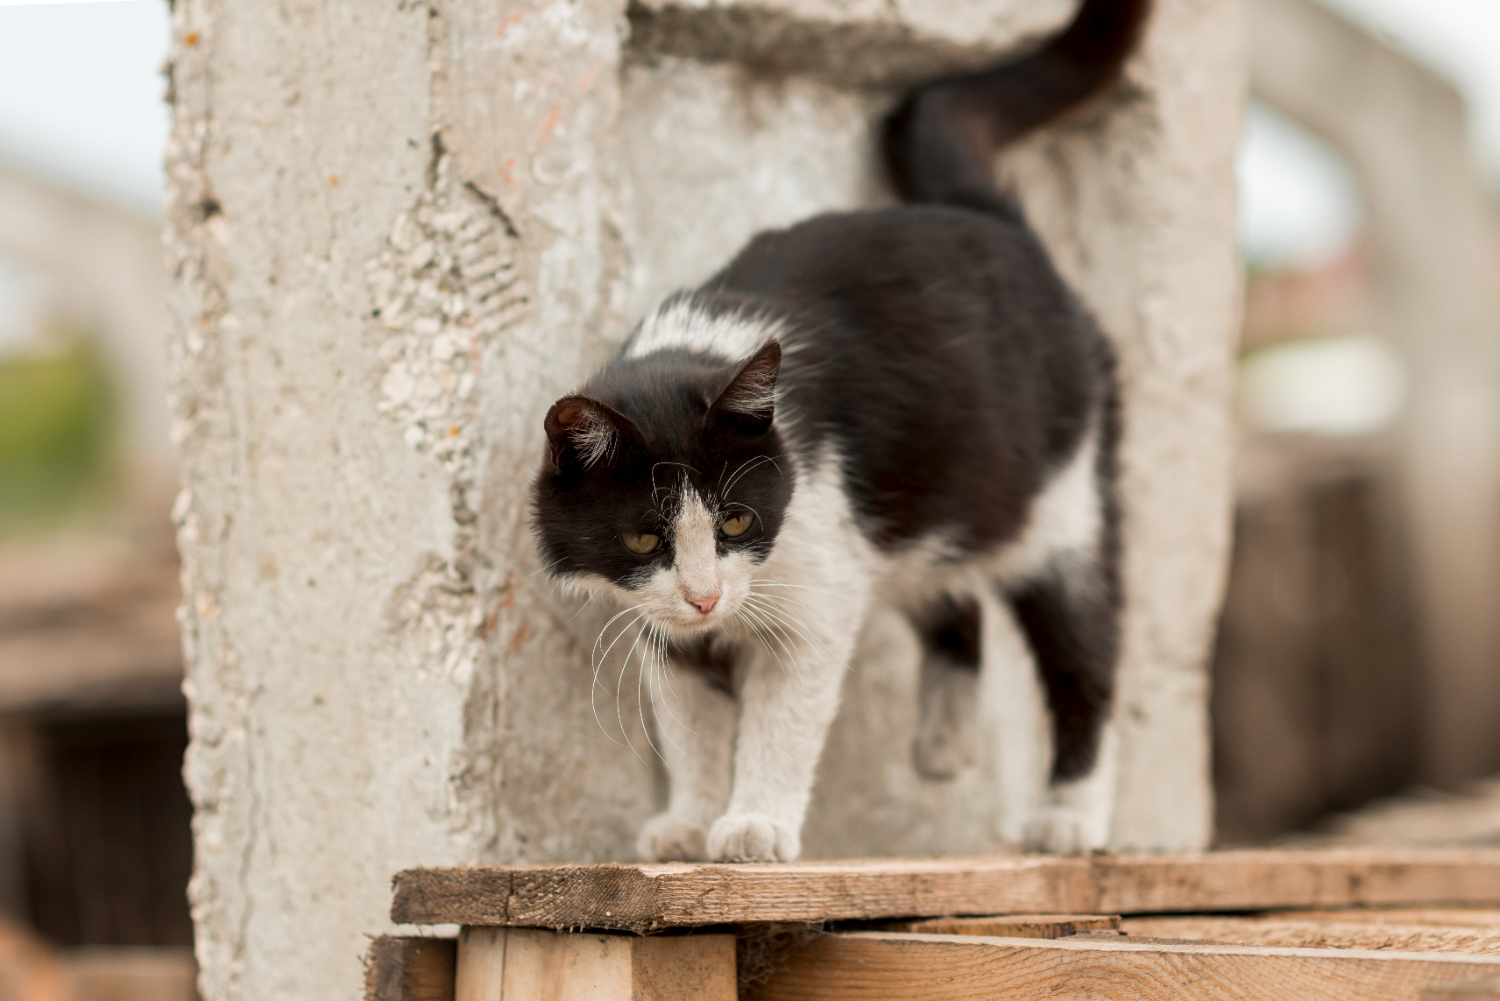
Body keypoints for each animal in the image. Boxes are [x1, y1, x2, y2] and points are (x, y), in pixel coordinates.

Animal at [534, 0, 1152, 864]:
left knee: (1084, 654)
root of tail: (993, 221)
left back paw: (1071, 816)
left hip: (1064, 501)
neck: (699, 347)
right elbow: (689, 722)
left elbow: (781, 717)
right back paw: (944, 742)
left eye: (736, 519)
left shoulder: (816, 581)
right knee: (950, 593)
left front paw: (754, 822)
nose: (705, 594)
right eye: (643, 538)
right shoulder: (668, 621)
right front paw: (690, 820)